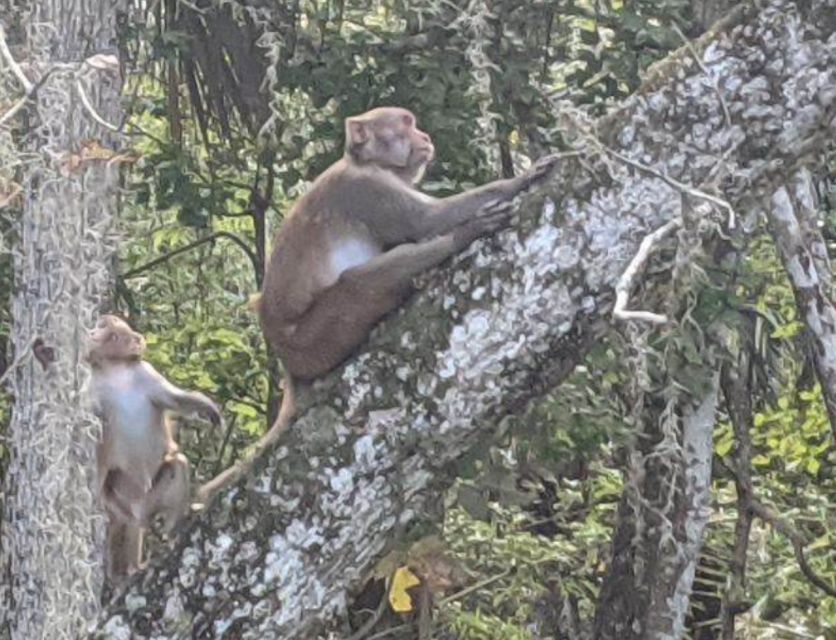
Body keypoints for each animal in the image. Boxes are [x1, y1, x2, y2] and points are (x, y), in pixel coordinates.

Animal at [87, 314, 221, 581]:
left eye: (108, 329)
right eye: (101, 326)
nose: (93, 330)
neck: (115, 372)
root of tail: (140, 508)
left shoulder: (146, 373)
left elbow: (175, 399)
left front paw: (207, 407)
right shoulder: (93, 392)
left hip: (151, 500)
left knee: (177, 465)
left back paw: (170, 535)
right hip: (122, 502)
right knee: (125, 522)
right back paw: (126, 571)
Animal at [196, 106, 559, 504]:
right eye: (406, 123)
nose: (425, 137)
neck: (366, 163)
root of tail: (286, 361)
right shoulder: (366, 190)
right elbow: (427, 221)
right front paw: (519, 179)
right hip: (314, 337)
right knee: (356, 282)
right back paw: (456, 240)